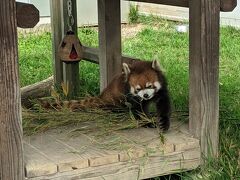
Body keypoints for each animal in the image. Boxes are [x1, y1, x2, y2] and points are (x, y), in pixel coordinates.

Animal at [41, 60, 171, 131]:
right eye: (138, 89)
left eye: (150, 86)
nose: (145, 95)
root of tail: (102, 96)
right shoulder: (130, 96)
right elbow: (138, 110)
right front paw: (147, 122)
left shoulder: (161, 92)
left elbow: (163, 105)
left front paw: (163, 123)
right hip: (113, 102)